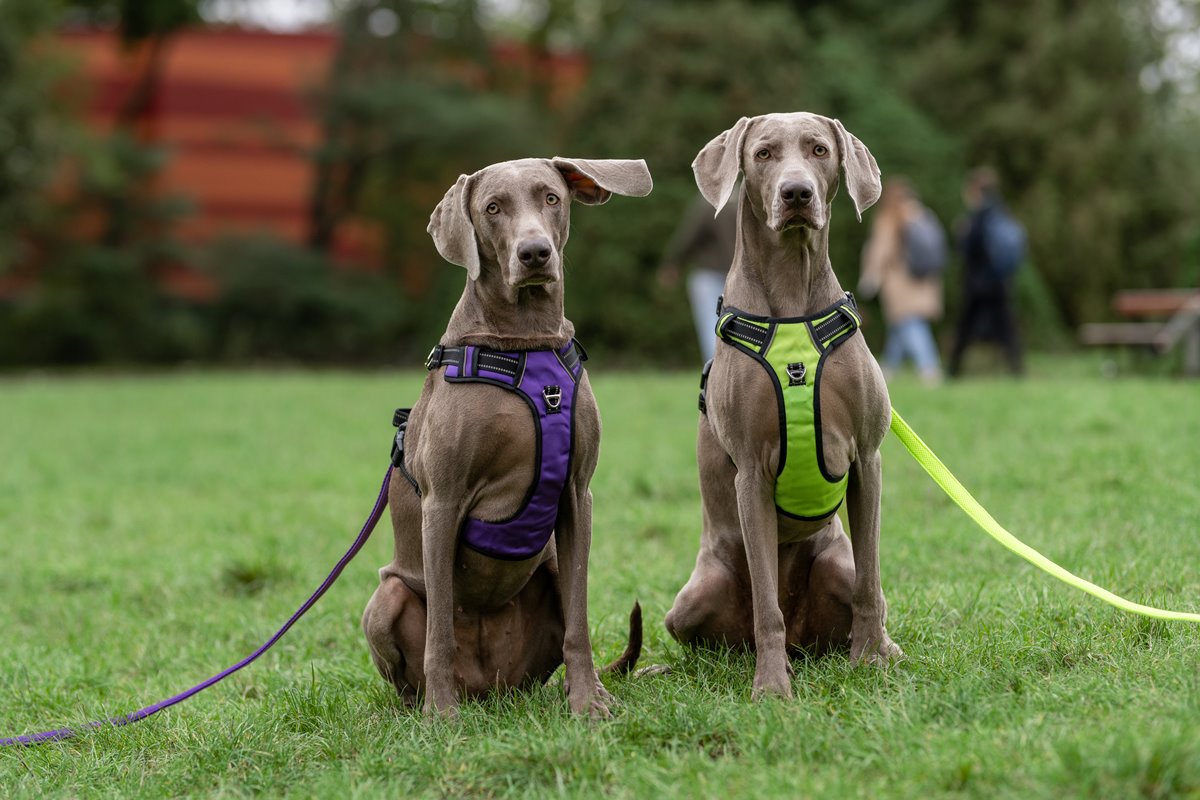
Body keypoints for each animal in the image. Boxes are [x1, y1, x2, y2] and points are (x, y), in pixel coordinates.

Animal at [360, 155, 652, 719]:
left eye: (551, 197)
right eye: (492, 208)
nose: (534, 252)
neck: (525, 340)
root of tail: (491, 690)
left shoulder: (577, 493)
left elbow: (580, 620)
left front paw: (588, 703)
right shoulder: (442, 501)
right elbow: (440, 630)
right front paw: (441, 717)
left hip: (550, 571)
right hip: (384, 600)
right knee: (410, 663)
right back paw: (425, 705)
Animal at [662, 112, 902, 700]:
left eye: (819, 150)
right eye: (764, 153)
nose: (797, 194)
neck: (793, 299)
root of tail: (802, 639)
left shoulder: (867, 458)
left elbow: (872, 581)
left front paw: (872, 660)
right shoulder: (751, 470)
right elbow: (764, 606)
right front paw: (771, 688)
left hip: (833, 561)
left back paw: (879, 647)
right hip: (697, 594)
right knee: (730, 629)